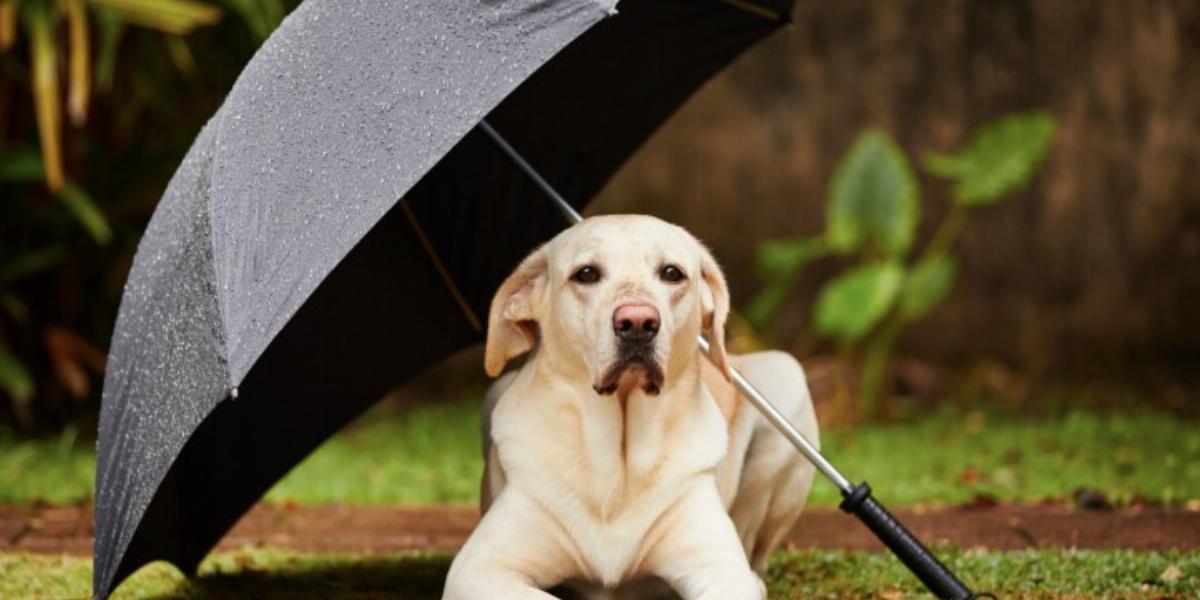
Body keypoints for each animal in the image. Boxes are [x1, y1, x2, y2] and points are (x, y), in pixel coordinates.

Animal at [446, 216, 820, 600]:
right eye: (586, 273)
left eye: (672, 273)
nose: (638, 322)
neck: (619, 460)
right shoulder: (478, 568)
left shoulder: (719, 566)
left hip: (786, 377)